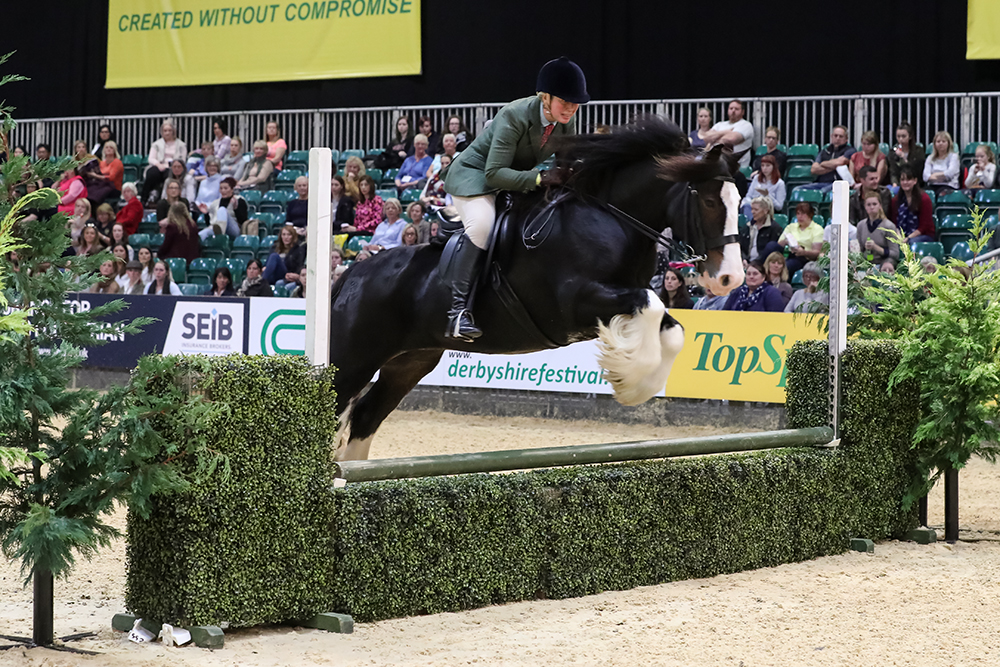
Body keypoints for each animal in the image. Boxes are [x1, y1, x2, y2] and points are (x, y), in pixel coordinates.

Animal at [329, 116, 744, 460]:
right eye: (709, 201)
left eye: (739, 200)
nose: (730, 279)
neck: (611, 217)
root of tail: (352, 275)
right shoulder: (576, 301)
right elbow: (653, 305)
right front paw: (632, 383)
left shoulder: (617, 300)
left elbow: (670, 327)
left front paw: (632, 379)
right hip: (352, 360)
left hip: (410, 361)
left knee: (365, 416)